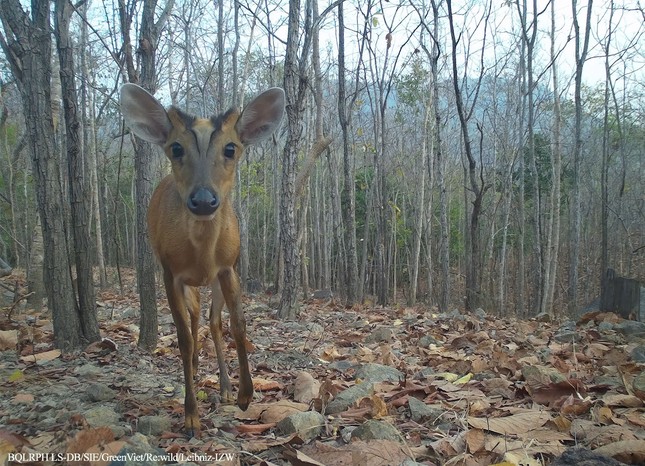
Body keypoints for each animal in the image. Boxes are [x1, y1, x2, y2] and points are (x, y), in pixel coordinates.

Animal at [119, 83, 284, 436]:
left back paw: (224, 388)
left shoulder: (229, 268)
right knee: (194, 321)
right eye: (176, 148)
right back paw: (195, 369)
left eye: (231, 148)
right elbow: (181, 337)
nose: (204, 200)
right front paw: (191, 416)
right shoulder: (170, 273)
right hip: (186, 284)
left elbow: (238, 324)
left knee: (212, 321)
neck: (202, 255)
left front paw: (245, 395)